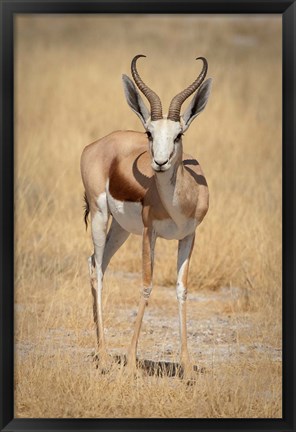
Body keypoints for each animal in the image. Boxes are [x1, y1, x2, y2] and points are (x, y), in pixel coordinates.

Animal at [80, 54, 212, 372]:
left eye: (179, 134)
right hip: (101, 217)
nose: (160, 163)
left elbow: (181, 288)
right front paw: (130, 361)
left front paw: (187, 367)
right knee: (98, 271)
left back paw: (102, 352)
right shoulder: (149, 233)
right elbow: (146, 286)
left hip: (121, 229)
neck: (180, 203)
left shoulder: (189, 236)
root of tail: (96, 145)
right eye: (149, 133)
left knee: (96, 263)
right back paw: (105, 358)